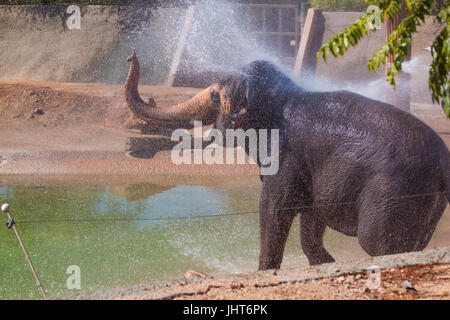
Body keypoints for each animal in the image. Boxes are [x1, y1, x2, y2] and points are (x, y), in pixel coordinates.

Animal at [124, 50, 450, 270]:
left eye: (216, 96)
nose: (130, 56)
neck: (283, 96)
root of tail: (444, 167)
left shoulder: (287, 157)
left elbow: (273, 209)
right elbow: (311, 219)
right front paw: (325, 263)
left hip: (394, 192)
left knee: (377, 243)